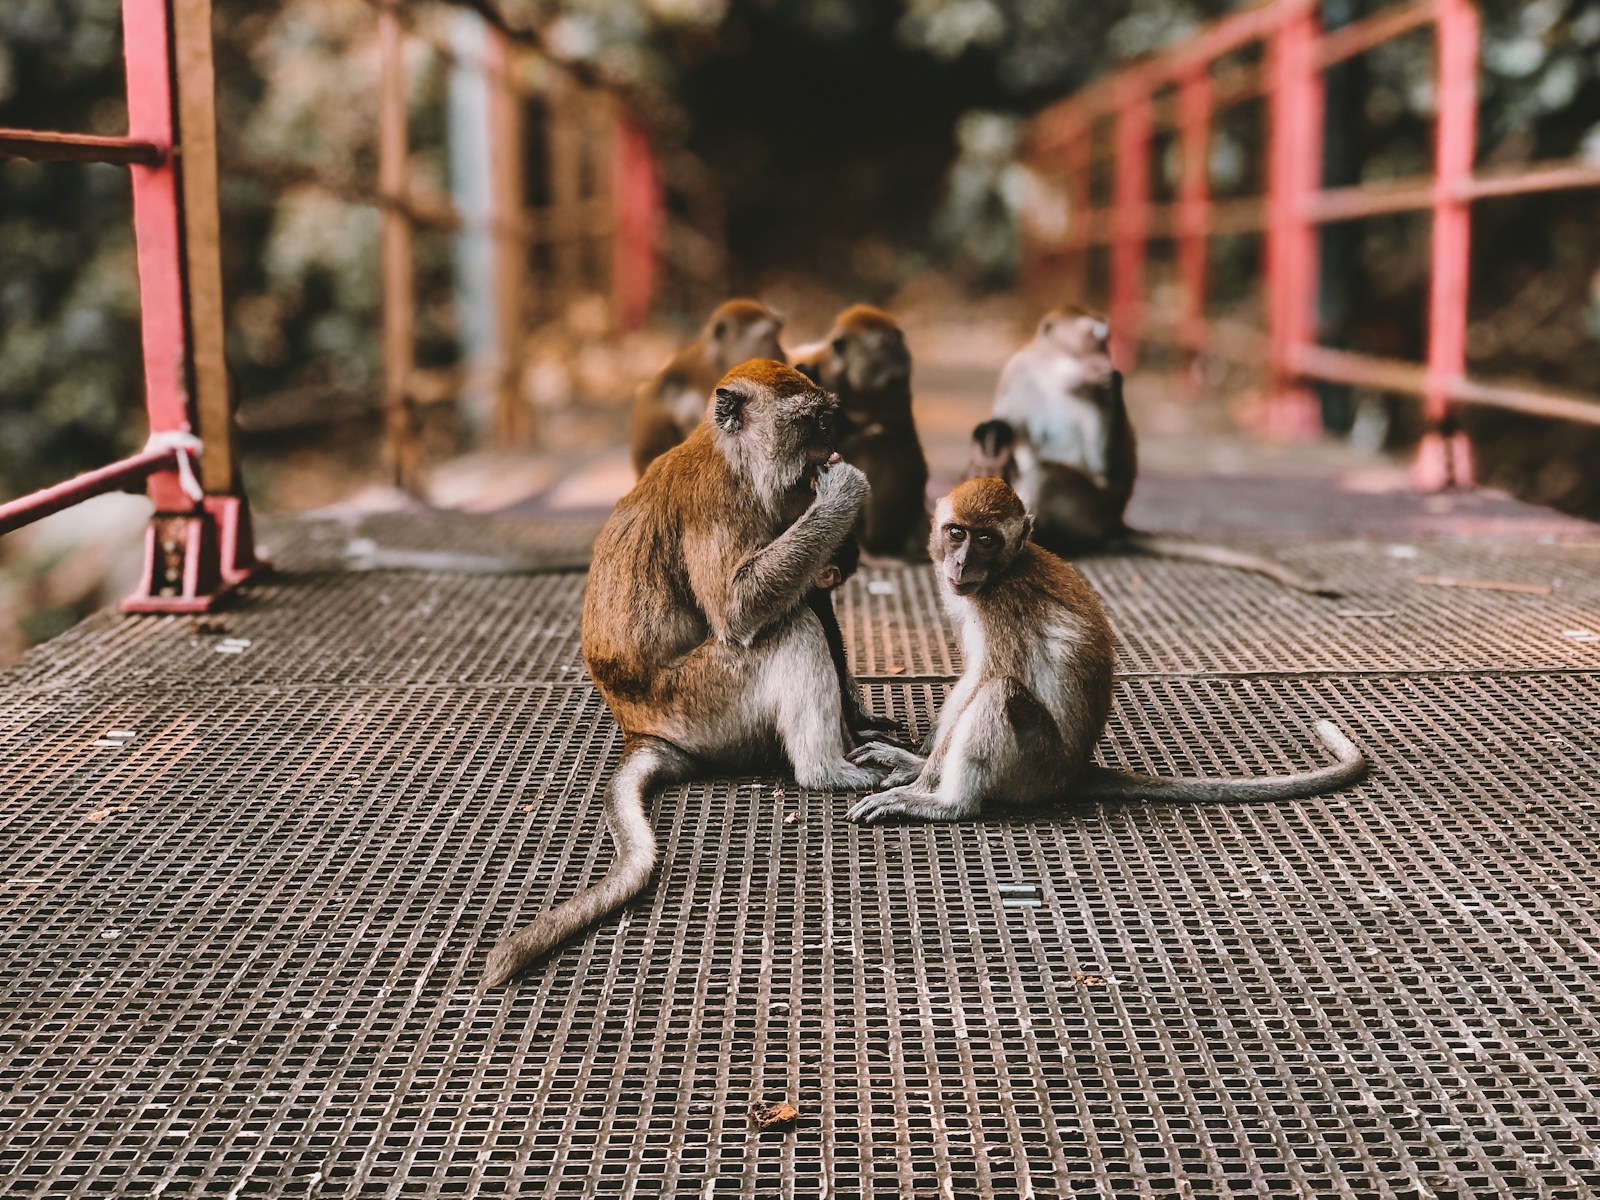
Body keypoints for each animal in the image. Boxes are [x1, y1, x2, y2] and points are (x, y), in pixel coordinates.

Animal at [483, 360, 891, 987]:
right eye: (812, 425)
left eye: (828, 421)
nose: (830, 451)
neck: (733, 457)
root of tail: (642, 728)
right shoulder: (720, 505)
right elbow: (741, 608)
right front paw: (847, 490)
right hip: (706, 705)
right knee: (787, 625)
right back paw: (825, 771)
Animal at [845, 477, 1365, 824]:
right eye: (957, 532)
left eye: (987, 539)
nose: (961, 563)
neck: (1005, 570)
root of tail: (1073, 773)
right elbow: (971, 677)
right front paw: (916, 763)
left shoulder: (1003, 603)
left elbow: (988, 678)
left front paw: (923, 780)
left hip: (1035, 767)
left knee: (999, 692)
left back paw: (948, 804)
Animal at [979, 307, 1339, 596]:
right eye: (1095, 335)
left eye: (1104, 338)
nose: (1105, 355)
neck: (1057, 372)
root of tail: (1114, 522)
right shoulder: (1018, 373)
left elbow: (1103, 469)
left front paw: (1112, 378)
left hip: (1089, 510)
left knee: (1047, 471)